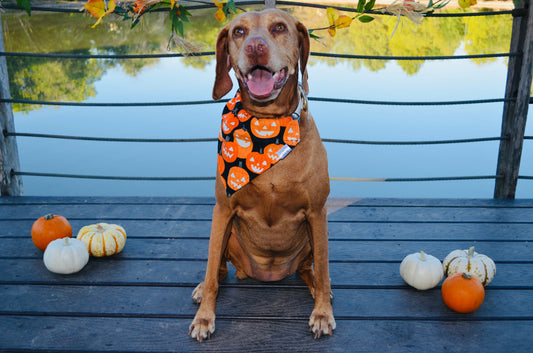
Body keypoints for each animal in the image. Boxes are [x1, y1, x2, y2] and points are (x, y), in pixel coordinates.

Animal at [189, 8, 334, 340]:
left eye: (279, 27)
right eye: (238, 32)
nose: (255, 47)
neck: (267, 124)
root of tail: (267, 274)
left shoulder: (317, 212)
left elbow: (324, 270)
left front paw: (322, 313)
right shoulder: (223, 209)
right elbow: (211, 270)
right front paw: (204, 318)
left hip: (311, 239)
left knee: (311, 270)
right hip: (228, 234)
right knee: (218, 269)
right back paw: (203, 288)